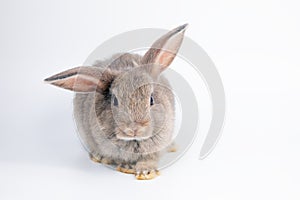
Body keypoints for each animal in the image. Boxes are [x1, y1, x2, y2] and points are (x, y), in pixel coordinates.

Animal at [44, 23, 188, 180]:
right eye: (115, 101)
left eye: (151, 100)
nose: (134, 129)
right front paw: (126, 167)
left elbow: (149, 160)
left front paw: (146, 171)